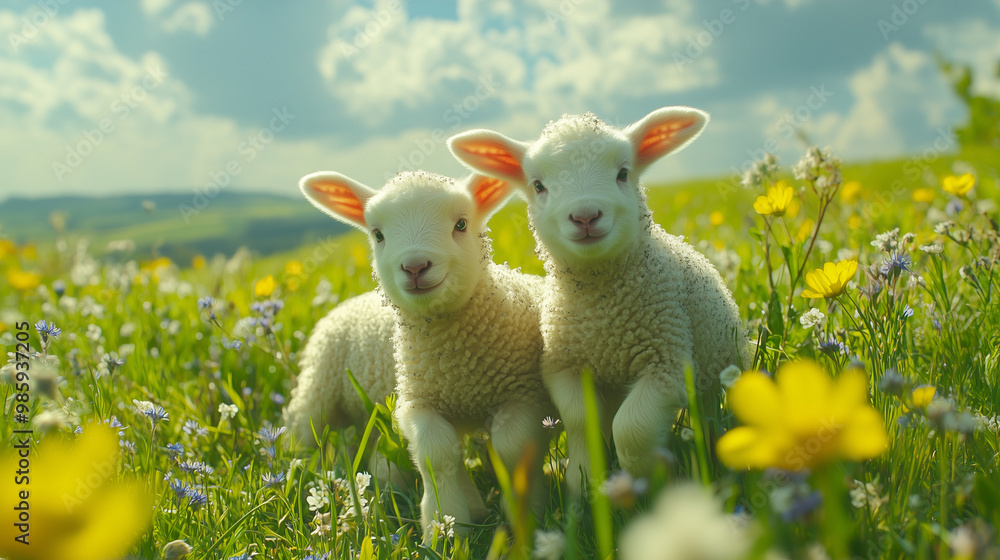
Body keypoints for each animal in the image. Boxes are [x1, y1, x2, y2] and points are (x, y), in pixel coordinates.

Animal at [298, 169, 551, 540]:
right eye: (378, 234)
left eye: (461, 224)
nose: (415, 266)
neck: (458, 363)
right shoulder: (419, 402)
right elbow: (437, 455)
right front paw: (443, 527)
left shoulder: (524, 394)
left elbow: (511, 448)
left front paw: (525, 516)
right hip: (317, 393)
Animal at [448, 106, 749, 495]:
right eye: (538, 185)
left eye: (623, 173)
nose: (585, 216)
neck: (601, 309)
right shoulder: (564, 366)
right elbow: (581, 420)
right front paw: (585, 478)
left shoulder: (666, 364)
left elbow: (631, 429)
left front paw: (650, 476)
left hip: (719, 365)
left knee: (709, 408)